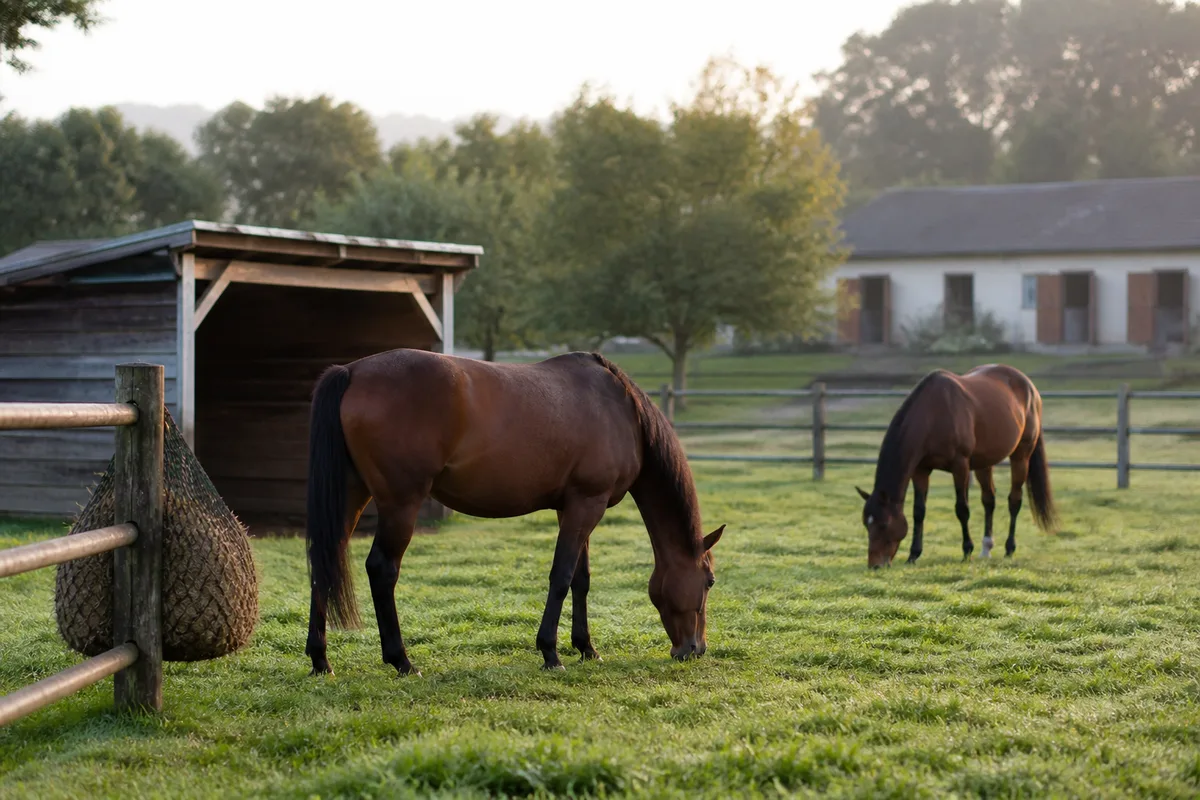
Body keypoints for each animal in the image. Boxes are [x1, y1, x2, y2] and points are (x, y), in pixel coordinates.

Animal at [304, 348, 726, 676]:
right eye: (709, 582)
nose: (694, 649)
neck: (621, 410)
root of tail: (352, 371)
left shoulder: (573, 508)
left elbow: (581, 579)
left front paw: (586, 648)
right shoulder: (587, 504)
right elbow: (561, 576)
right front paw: (551, 653)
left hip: (352, 495)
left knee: (324, 563)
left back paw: (320, 660)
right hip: (400, 503)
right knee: (382, 569)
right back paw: (402, 661)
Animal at [855, 363, 1058, 569]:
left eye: (884, 524)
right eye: (866, 523)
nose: (875, 565)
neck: (933, 414)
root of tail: (1030, 387)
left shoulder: (960, 466)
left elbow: (962, 509)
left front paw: (967, 551)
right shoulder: (921, 470)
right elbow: (919, 511)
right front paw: (913, 555)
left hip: (1021, 456)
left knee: (1014, 500)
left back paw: (1009, 549)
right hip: (983, 462)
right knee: (989, 500)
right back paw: (986, 549)